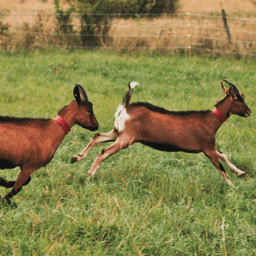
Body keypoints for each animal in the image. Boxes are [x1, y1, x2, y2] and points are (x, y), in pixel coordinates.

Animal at [71, 81, 251, 187]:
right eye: (239, 98)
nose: (249, 111)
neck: (211, 121)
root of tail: (126, 107)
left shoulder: (210, 147)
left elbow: (224, 156)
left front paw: (240, 173)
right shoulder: (207, 147)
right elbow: (220, 167)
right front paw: (233, 187)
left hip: (118, 132)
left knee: (97, 137)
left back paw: (76, 157)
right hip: (127, 138)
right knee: (104, 152)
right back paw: (89, 175)